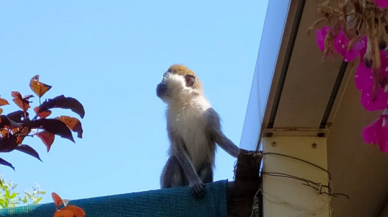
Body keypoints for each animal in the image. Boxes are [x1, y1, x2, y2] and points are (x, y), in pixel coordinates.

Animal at [155, 64, 239, 198]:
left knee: (207, 167)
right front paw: (195, 181)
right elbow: (177, 146)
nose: (158, 85)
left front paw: (240, 153)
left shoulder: (207, 111)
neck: (184, 102)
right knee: (174, 161)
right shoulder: (170, 118)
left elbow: (218, 136)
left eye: (163, 79)